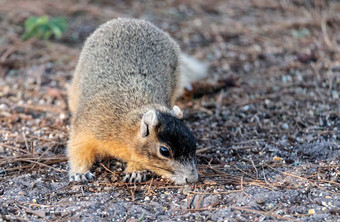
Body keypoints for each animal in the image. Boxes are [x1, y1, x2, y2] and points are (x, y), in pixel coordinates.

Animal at [66, 17, 205, 184]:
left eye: (194, 143)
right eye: (164, 151)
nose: (192, 179)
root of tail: (132, 20)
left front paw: (135, 172)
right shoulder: (87, 127)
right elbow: (77, 148)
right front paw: (79, 173)